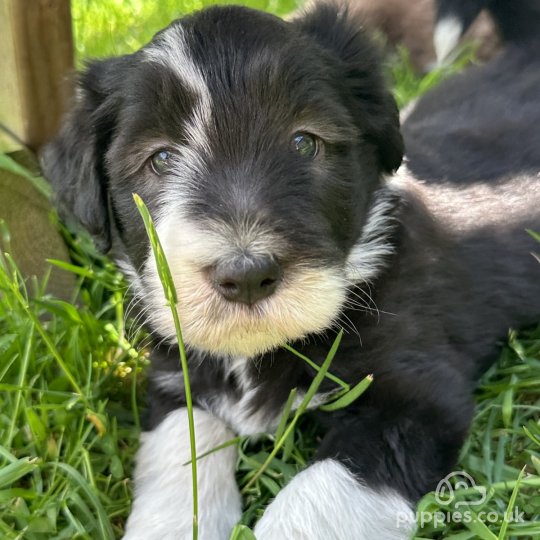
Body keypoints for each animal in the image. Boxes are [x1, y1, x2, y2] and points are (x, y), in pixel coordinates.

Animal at [43, 1, 540, 540]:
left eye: (304, 142)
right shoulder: (174, 380)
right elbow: (181, 451)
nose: (246, 276)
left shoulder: (420, 396)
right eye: (161, 158)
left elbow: (315, 496)